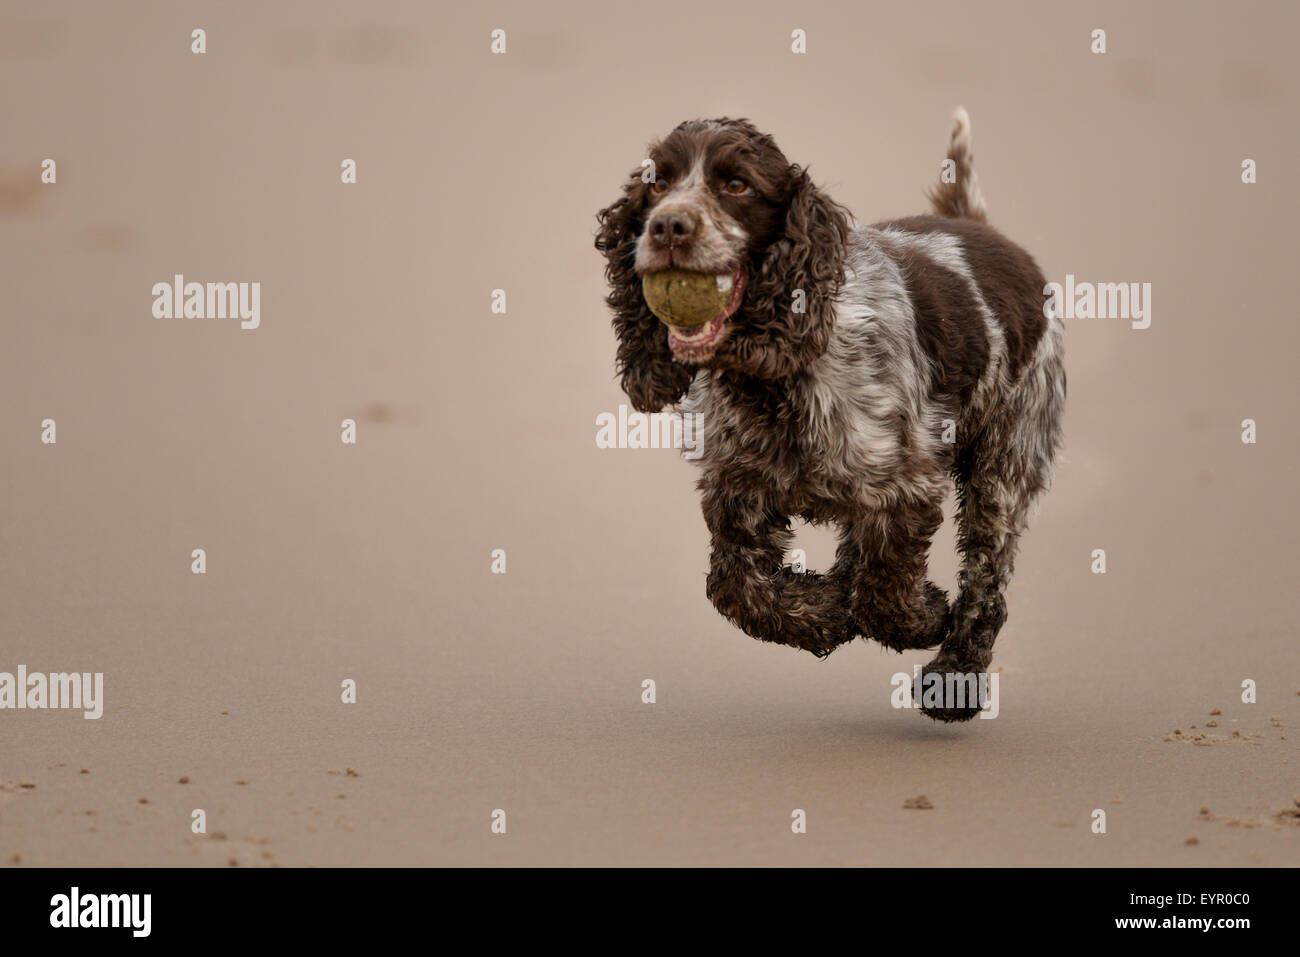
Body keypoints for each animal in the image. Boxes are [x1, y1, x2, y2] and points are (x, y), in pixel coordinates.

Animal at [598, 111, 1066, 722]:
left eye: (737, 185)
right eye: (657, 185)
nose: (668, 227)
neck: (774, 379)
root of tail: (974, 224)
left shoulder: (906, 484)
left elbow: (883, 591)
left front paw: (923, 618)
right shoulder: (735, 487)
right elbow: (737, 588)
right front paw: (823, 615)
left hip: (1007, 459)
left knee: (987, 580)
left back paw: (955, 677)